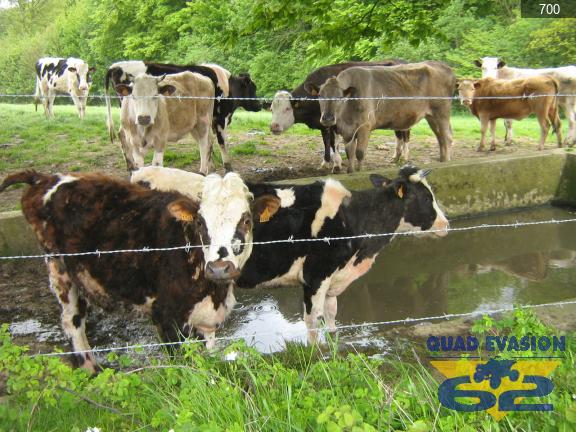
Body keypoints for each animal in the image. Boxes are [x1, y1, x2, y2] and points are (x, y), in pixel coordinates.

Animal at [0, 170, 279, 372]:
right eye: (200, 222)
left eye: (246, 221)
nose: (219, 268)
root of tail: (46, 178)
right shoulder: (167, 318)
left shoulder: (206, 320)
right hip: (58, 267)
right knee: (72, 320)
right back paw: (91, 369)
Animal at [105, 61, 261, 171]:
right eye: (253, 88)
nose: (259, 104)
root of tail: (114, 66)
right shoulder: (220, 118)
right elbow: (222, 142)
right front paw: (227, 166)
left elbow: (208, 143)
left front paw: (210, 166)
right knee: (122, 134)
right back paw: (130, 165)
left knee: (121, 134)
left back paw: (130, 165)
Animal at [130, 165, 449, 342]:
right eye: (426, 198)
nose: (446, 224)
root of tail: (141, 173)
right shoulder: (315, 276)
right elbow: (312, 321)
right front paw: (318, 352)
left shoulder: (334, 279)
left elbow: (332, 314)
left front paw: (335, 341)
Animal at [270, 60, 410, 172]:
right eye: (271, 109)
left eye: (287, 108)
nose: (273, 126)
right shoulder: (324, 123)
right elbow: (326, 142)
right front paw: (326, 162)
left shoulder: (333, 123)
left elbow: (333, 143)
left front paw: (337, 164)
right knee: (399, 134)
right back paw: (396, 157)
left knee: (406, 134)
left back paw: (405, 157)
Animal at [312, 61, 455, 173]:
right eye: (320, 95)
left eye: (340, 97)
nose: (327, 118)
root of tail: (442, 65)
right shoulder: (347, 130)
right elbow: (350, 153)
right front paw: (350, 171)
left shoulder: (365, 127)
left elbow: (360, 153)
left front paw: (359, 171)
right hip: (431, 116)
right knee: (440, 139)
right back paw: (442, 161)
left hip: (441, 112)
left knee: (446, 138)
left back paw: (447, 163)